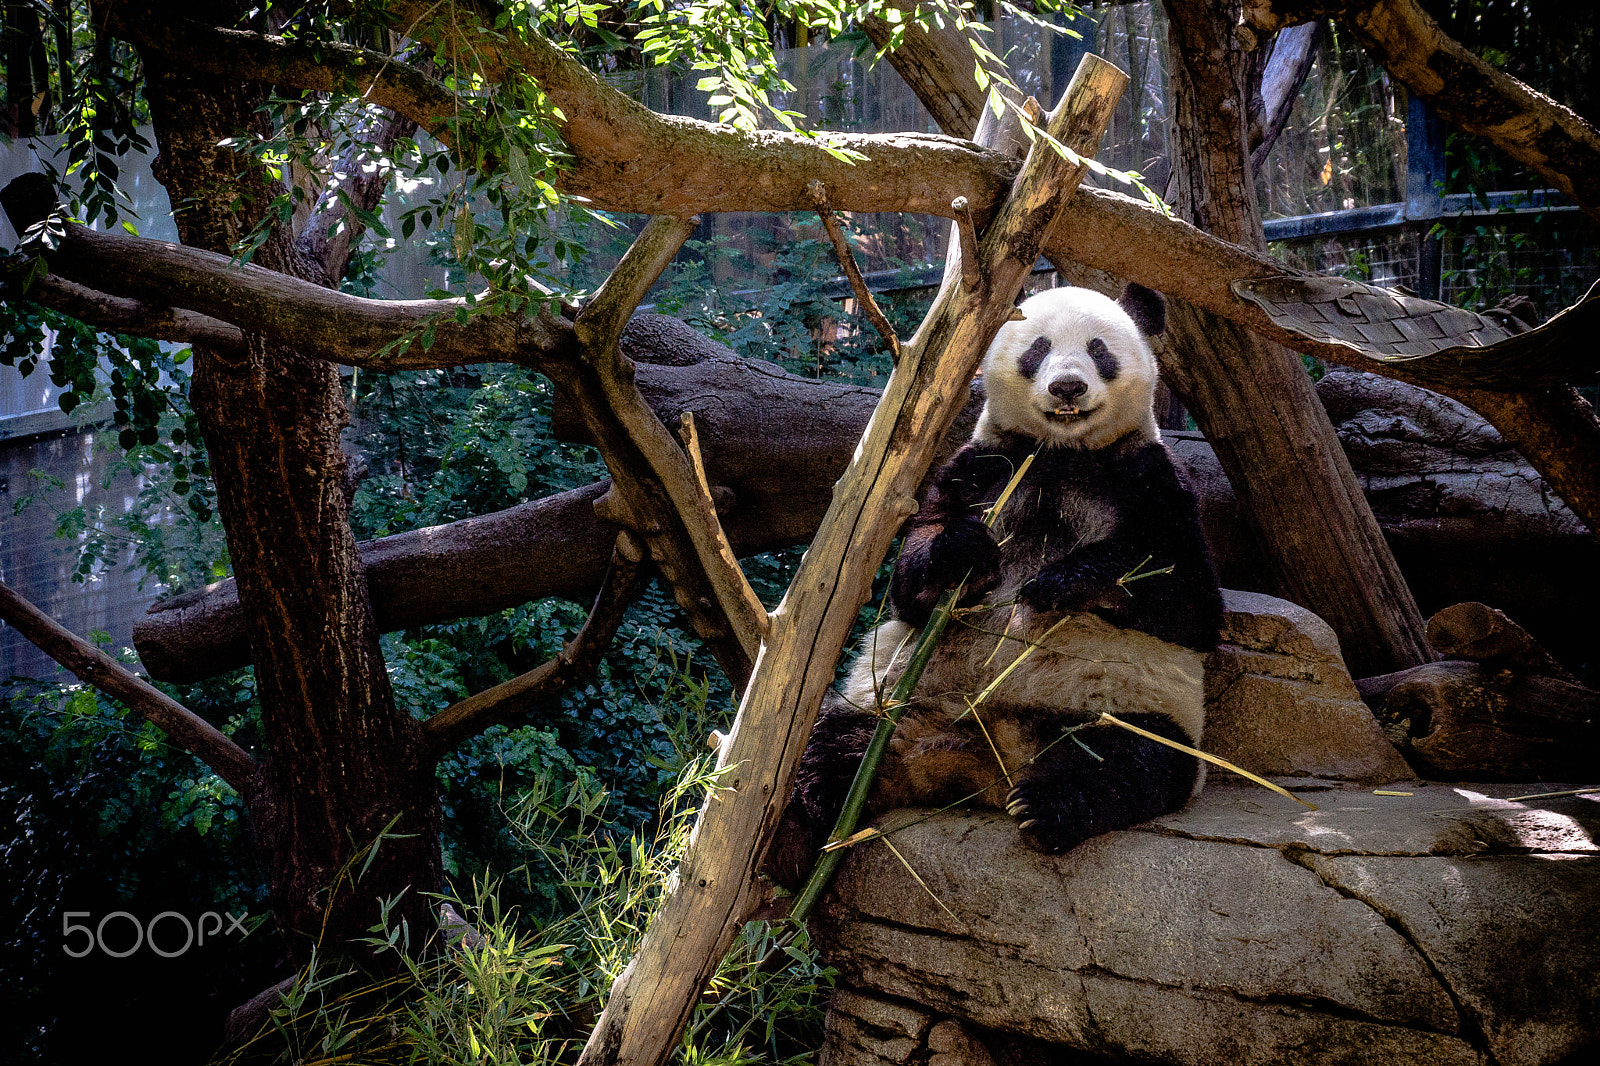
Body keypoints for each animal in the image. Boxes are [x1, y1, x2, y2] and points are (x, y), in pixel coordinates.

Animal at [769, 282, 1223, 885]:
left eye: (1099, 348)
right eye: (1038, 347)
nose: (1068, 385)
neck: (1061, 454)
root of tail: (985, 761)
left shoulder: (1150, 477)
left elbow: (1190, 601)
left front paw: (1060, 581)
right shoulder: (980, 465)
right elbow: (911, 579)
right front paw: (965, 553)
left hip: (1127, 704)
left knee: (1128, 759)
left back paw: (1044, 806)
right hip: (888, 705)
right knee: (828, 749)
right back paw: (794, 841)